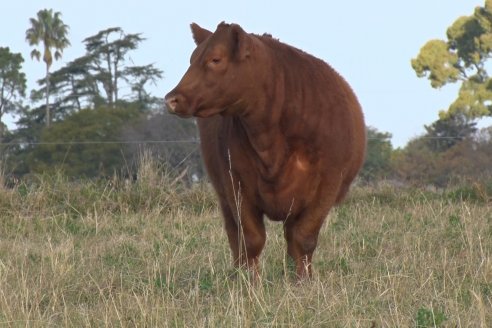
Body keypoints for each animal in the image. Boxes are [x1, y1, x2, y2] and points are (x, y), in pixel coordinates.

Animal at [165, 22, 366, 280]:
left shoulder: (327, 187)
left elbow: (304, 238)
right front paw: (250, 282)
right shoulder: (235, 184)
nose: (172, 99)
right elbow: (251, 239)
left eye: (215, 59)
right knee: (234, 235)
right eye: (192, 59)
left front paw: (303, 281)